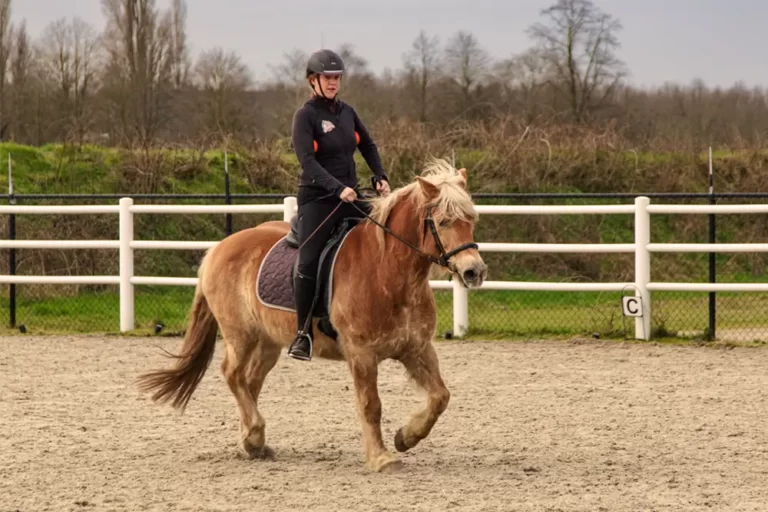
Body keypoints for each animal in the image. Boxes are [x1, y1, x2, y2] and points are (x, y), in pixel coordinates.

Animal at [136, 158, 486, 474]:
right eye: (444, 221)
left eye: (471, 219)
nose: (474, 272)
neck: (387, 273)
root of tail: (218, 248)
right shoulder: (361, 354)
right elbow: (371, 405)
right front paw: (381, 458)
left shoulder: (417, 348)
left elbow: (440, 396)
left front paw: (405, 437)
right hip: (240, 335)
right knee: (233, 374)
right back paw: (254, 434)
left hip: (268, 343)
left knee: (250, 382)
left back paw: (252, 442)